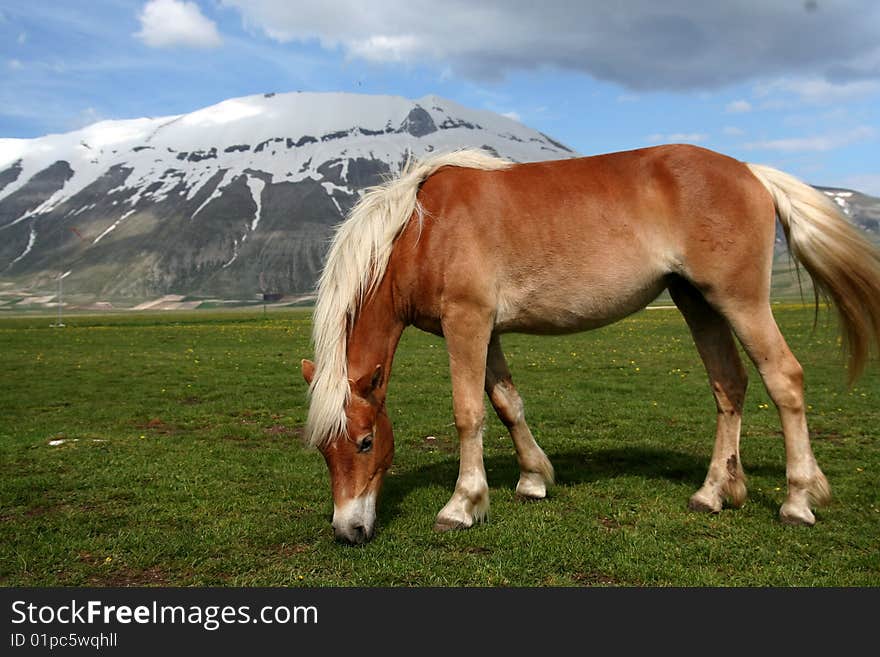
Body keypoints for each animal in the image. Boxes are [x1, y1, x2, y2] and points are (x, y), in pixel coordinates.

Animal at [298, 144, 880, 544]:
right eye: (325, 450)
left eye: (365, 442)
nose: (348, 531)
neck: (422, 230)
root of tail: (751, 172)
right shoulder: (485, 331)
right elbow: (506, 404)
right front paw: (534, 479)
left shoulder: (468, 322)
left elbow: (469, 413)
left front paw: (463, 504)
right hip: (697, 301)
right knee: (729, 385)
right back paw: (714, 492)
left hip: (739, 300)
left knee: (784, 378)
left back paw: (797, 500)